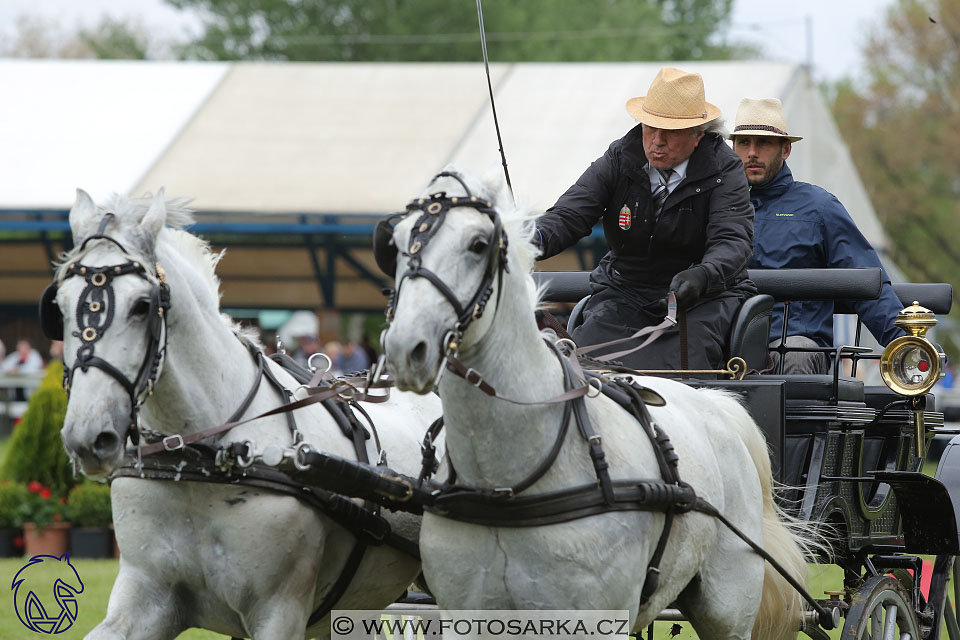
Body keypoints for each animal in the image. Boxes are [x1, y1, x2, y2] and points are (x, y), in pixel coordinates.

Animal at [53, 191, 442, 640]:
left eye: (141, 305)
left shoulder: (279, 610)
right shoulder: (145, 597)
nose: (87, 437)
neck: (200, 462)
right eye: (58, 305)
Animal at [382, 170, 808, 640]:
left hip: (728, 604)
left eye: (478, 244)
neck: (507, 482)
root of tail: (716, 401)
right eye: (395, 244)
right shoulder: (469, 614)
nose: (405, 348)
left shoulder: (593, 619)